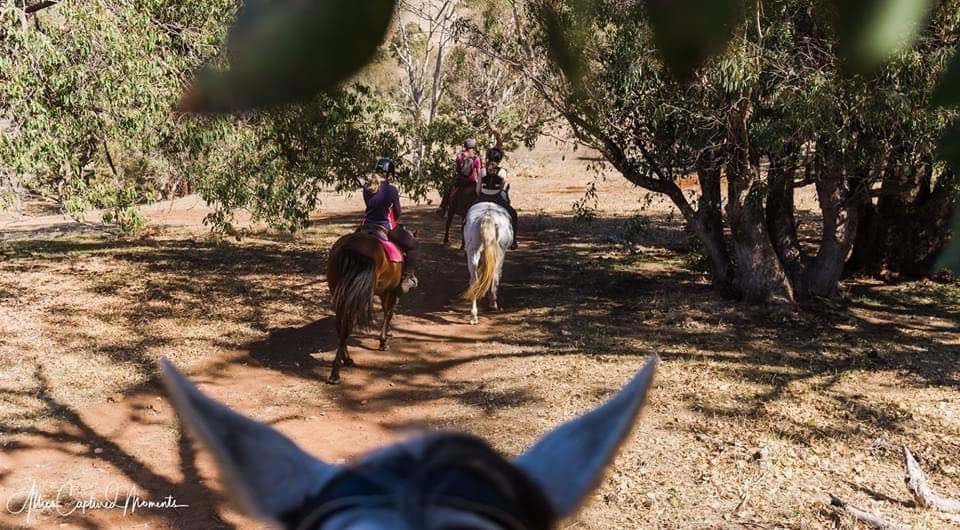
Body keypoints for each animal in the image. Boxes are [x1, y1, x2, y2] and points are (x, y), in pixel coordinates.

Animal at [325, 229, 404, 384]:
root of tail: (350, 246)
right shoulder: (390, 291)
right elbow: (388, 313)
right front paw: (383, 342)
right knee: (346, 328)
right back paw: (335, 373)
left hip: (341, 293)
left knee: (340, 327)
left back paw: (346, 360)